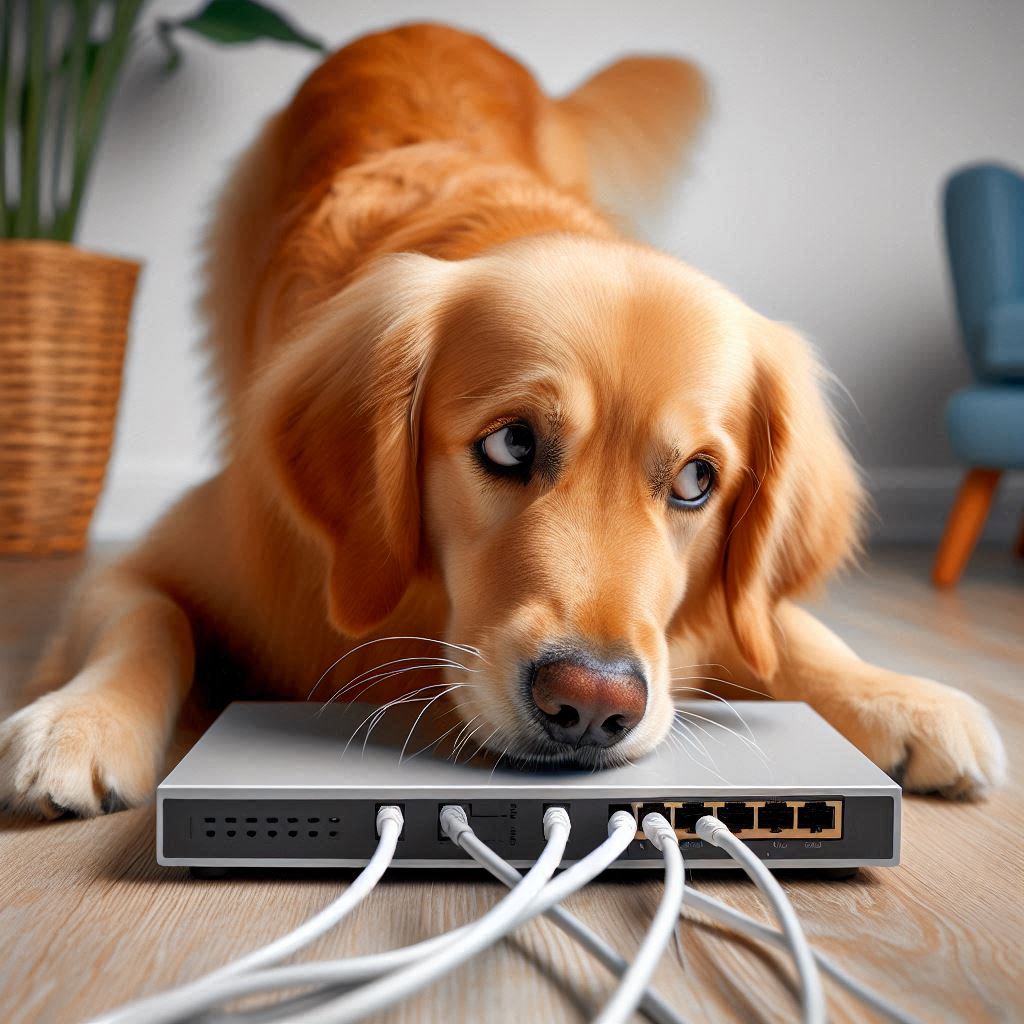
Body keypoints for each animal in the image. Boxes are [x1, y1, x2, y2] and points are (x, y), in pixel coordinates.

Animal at [0, 24, 1007, 815]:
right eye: (511, 443)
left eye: (697, 480)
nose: (592, 704)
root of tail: (431, 24)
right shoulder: (154, 564)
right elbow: (147, 621)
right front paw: (78, 724)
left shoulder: (705, 616)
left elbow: (783, 627)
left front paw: (901, 697)